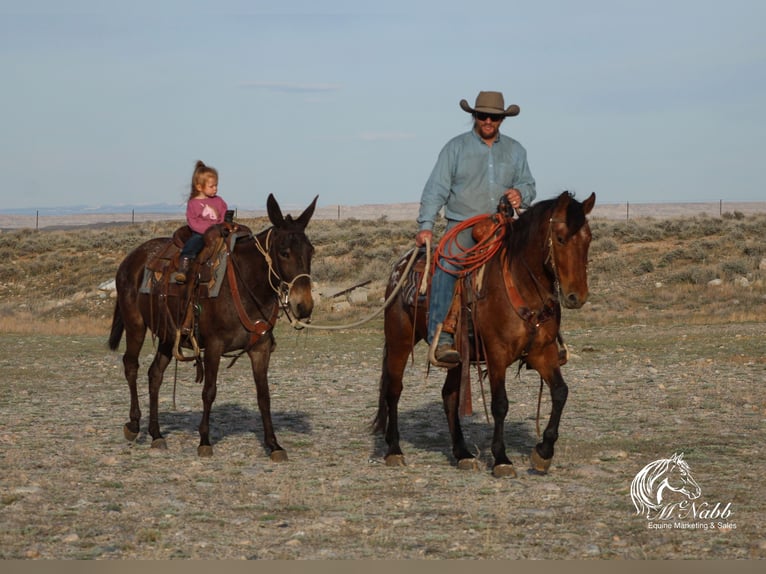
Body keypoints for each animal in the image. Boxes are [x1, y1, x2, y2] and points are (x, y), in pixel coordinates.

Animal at [108, 196, 318, 462]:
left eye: (311, 251)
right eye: (284, 252)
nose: (304, 305)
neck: (245, 285)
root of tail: (131, 259)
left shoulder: (260, 349)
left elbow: (264, 395)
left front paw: (274, 445)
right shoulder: (214, 347)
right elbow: (209, 391)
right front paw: (205, 441)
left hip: (168, 335)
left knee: (155, 374)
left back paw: (156, 434)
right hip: (135, 324)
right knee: (131, 366)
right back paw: (134, 425)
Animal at [376, 191, 596, 480]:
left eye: (588, 238)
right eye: (560, 238)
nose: (576, 297)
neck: (521, 284)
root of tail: (400, 267)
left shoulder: (543, 352)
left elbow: (560, 392)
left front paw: (544, 452)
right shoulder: (496, 354)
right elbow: (500, 403)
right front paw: (501, 459)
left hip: (457, 356)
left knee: (449, 396)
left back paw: (463, 454)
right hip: (399, 341)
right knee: (394, 389)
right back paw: (394, 450)